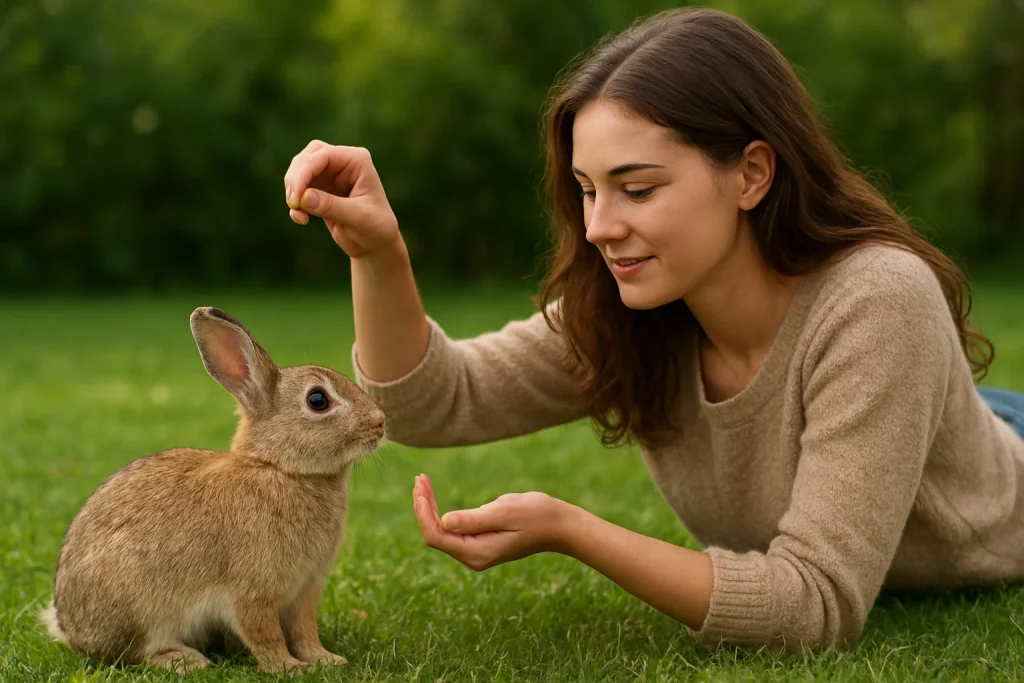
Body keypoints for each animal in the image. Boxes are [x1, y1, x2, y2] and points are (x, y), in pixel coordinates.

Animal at [38, 306, 386, 675]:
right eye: (317, 400)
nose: (380, 421)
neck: (280, 468)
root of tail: (69, 629)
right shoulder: (251, 593)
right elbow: (266, 637)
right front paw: (290, 668)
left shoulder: (305, 591)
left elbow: (305, 631)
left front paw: (326, 660)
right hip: (136, 608)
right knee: (136, 653)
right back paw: (186, 660)